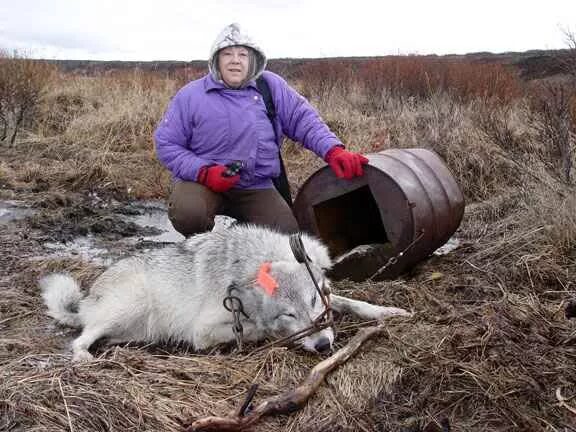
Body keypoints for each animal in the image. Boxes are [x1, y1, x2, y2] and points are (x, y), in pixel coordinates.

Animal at [39, 223, 410, 362]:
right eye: (289, 314)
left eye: (314, 301)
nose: (322, 346)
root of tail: (86, 302)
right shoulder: (203, 332)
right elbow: (258, 329)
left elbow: (352, 302)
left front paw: (390, 313)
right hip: (130, 304)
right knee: (79, 339)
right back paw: (85, 357)